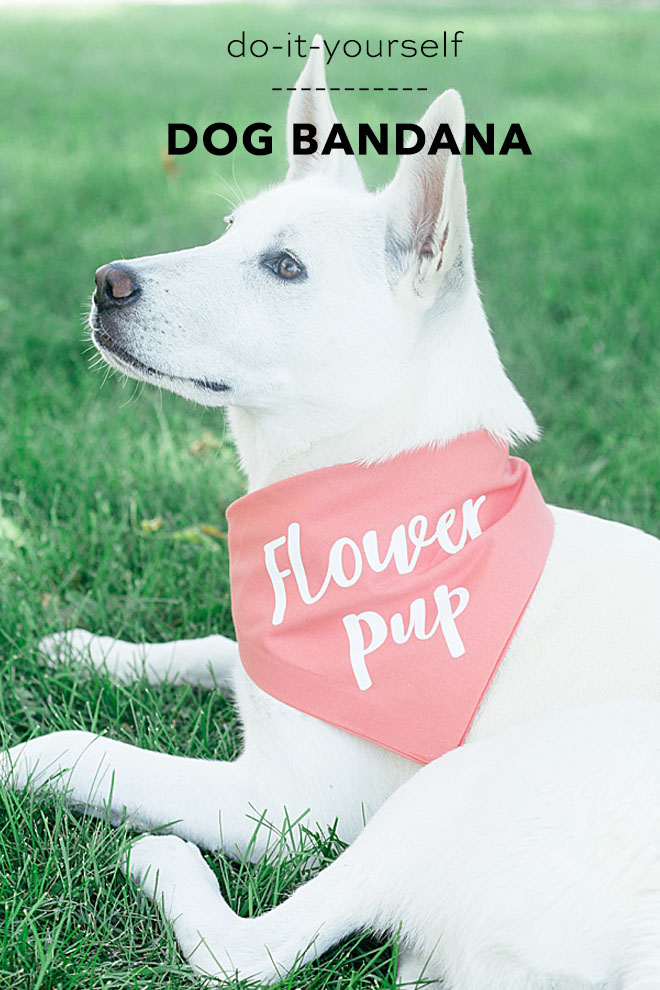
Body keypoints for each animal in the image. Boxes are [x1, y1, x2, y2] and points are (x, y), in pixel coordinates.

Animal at [5, 40, 660, 990]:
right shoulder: (268, 665)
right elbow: (215, 646)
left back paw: (164, 860)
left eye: (286, 268)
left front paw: (25, 750)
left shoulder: (287, 805)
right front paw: (88, 650)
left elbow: (77, 750)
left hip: (446, 789)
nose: (104, 283)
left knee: (252, 951)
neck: (376, 490)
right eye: (228, 229)